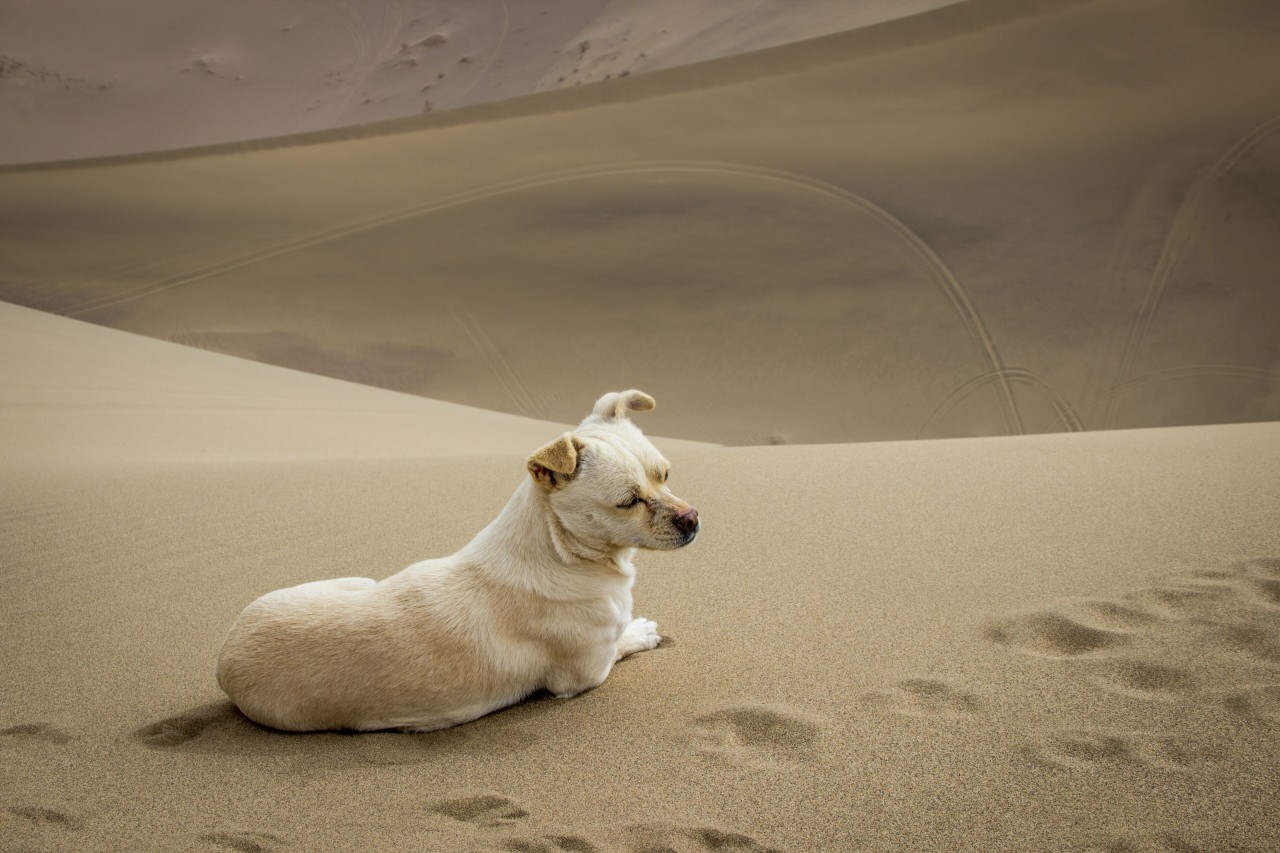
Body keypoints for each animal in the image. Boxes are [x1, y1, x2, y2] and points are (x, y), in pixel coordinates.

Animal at [220, 389, 701, 727]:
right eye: (628, 502)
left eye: (666, 475)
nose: (693, 519)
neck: (564, 550)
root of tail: (221, 661)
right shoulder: (587, 673)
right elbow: (623, 643)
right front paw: (641, 632)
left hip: (353, 580)